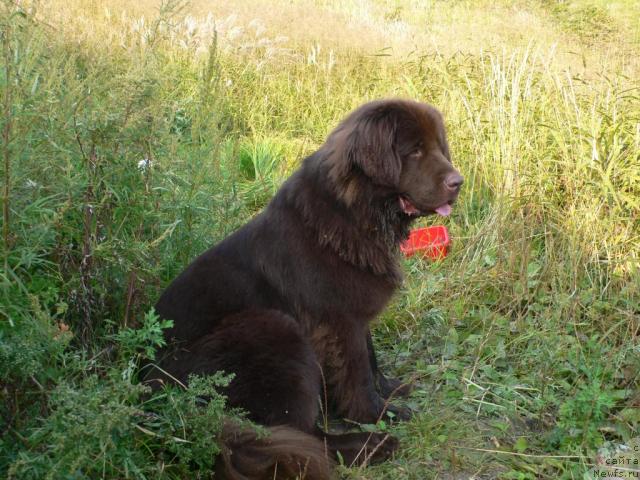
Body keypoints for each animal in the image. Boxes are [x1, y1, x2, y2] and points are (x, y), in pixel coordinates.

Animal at [148, 99, 462, 478]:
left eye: (439, 147)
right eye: (414, 151)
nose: (458, 182)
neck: (355, 215)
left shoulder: (355, 317)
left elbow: (371, 359)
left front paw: (390, 390)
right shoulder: (340, 322)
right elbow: (358, 374)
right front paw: (376, 415)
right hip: (273, 329)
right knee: (300, 436)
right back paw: (371, 446)